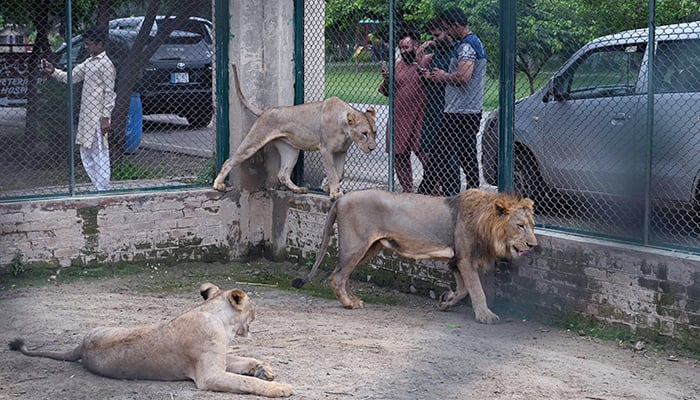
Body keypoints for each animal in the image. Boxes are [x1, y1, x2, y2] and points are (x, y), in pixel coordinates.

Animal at [8, 282, 292, 398]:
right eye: (253, 305)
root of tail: (82, 345)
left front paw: (263, 369)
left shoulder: (220, 359)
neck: (219, 320)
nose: (258, 312)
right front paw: (280, 388)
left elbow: (241, 360)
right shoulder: (208, 375)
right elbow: (246, 382)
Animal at [213, 65, 378, 200]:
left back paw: (298, 189)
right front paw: (335, 193)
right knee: (230, 160)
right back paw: (218, 184)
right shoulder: (325, 150)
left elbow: (340, 173)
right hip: (253, 142)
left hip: (291, 150)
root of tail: (265, 111)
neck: (345, 130)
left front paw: (328, 188)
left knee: (282, 174)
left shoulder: (341, 152)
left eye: (375, 133)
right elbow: (332, 172)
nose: (372, 148)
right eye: (364, 133)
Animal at [292, 189, 540, 324]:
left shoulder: (456, 261)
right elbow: (477, 291)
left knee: (343, 276)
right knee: (337, 276)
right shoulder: (465, 260)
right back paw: (349, 304)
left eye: (532, 225)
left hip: (370, 248)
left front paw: (446, 301)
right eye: (520, 226)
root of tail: (340, 199)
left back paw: (353, 299)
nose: (533, 245)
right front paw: (485, 316)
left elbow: (463, 290)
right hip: (356, 245)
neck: (485, 223)